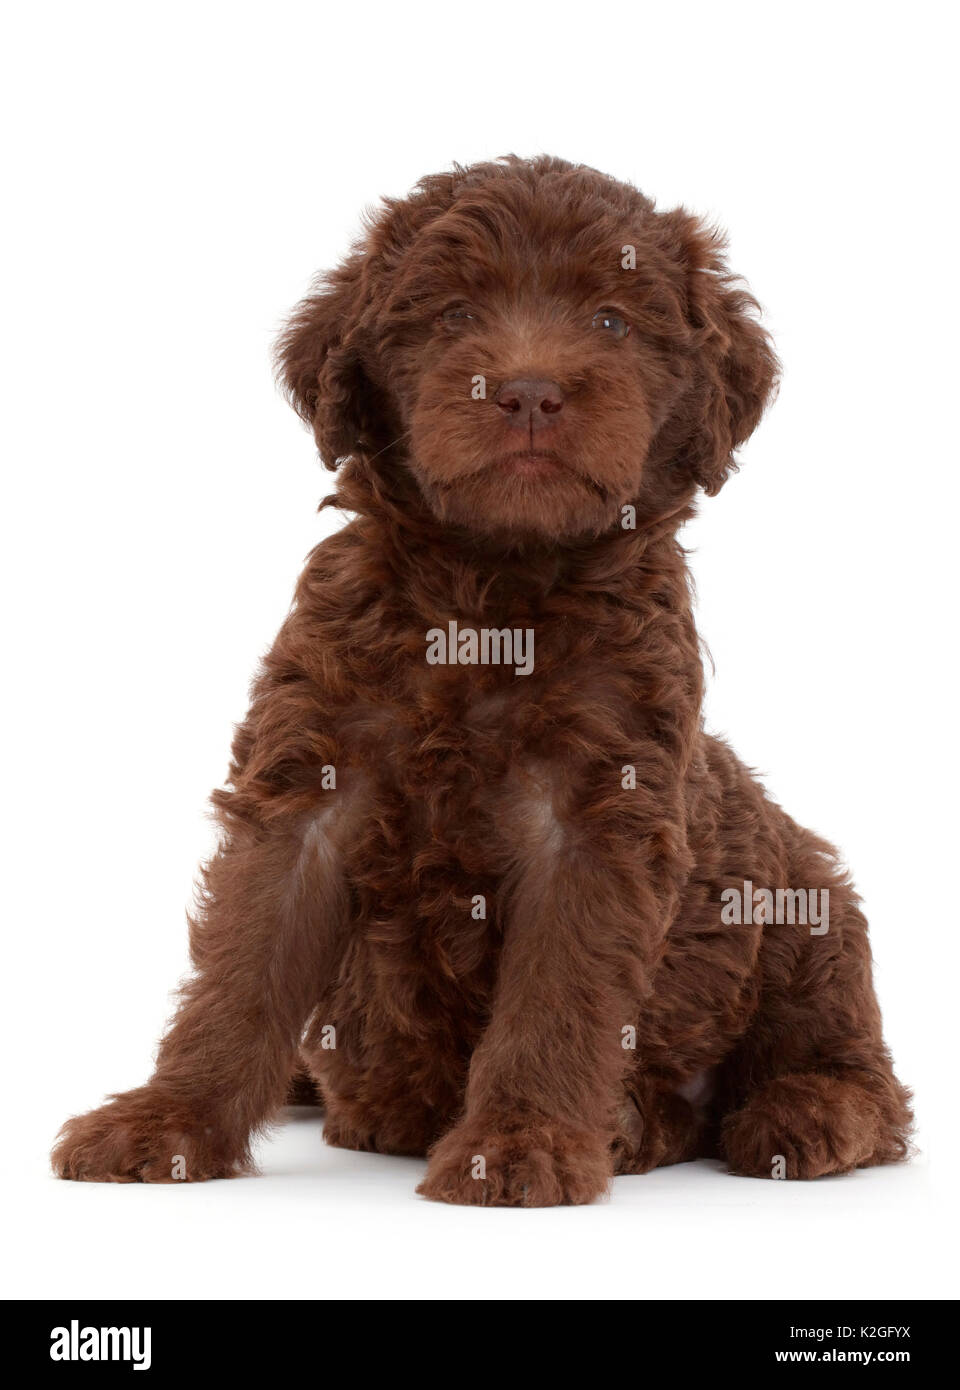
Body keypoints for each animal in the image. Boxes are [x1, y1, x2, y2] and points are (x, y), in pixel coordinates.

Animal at [53, 155, 912, 1205]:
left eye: (613, 321)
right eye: (453, 314)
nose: (529, 392)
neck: (489, 599)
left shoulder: (600, 810)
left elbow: (558, 994)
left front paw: (520, 1142)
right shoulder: (306, 780)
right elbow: (241, 968)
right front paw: (168, 1121)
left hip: (804, 898)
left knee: (855, 1063)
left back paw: (796, 1114)